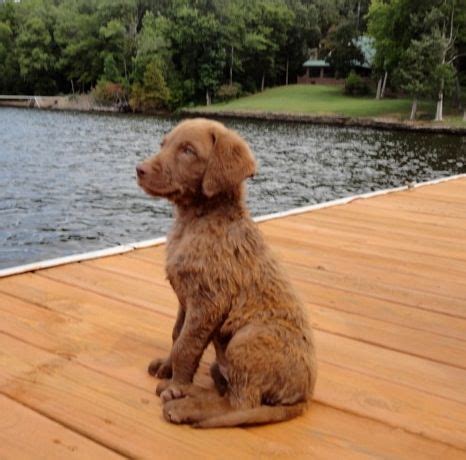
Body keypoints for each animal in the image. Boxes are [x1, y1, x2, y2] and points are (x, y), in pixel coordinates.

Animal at [136, 118, 316, 428]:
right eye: (164, 144)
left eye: (187, 150)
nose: (140, 169)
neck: (194, 222)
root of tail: (304, 397)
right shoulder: (186, 298)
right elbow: (176, 334)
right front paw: (167, 369)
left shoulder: (208, 300)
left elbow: (187, 345)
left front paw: (176, 385)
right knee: (229, 393)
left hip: (247, 339)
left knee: (240, 404)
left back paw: (185, 404)